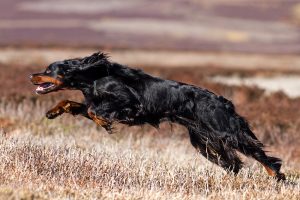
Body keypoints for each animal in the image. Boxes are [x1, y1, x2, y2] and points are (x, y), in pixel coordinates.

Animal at [30, 52, 286, 180]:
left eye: (49, 70)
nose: (31, 75)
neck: (93, 76)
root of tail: (223, 101)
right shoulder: (95, 100)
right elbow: (72, 103)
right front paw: (53, 112)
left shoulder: (129, 103)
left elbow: (95, 111)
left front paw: (103, 122)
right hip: (203, 140)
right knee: (233, 163)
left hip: (225, 131)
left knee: (260, 155)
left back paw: (276, 176)